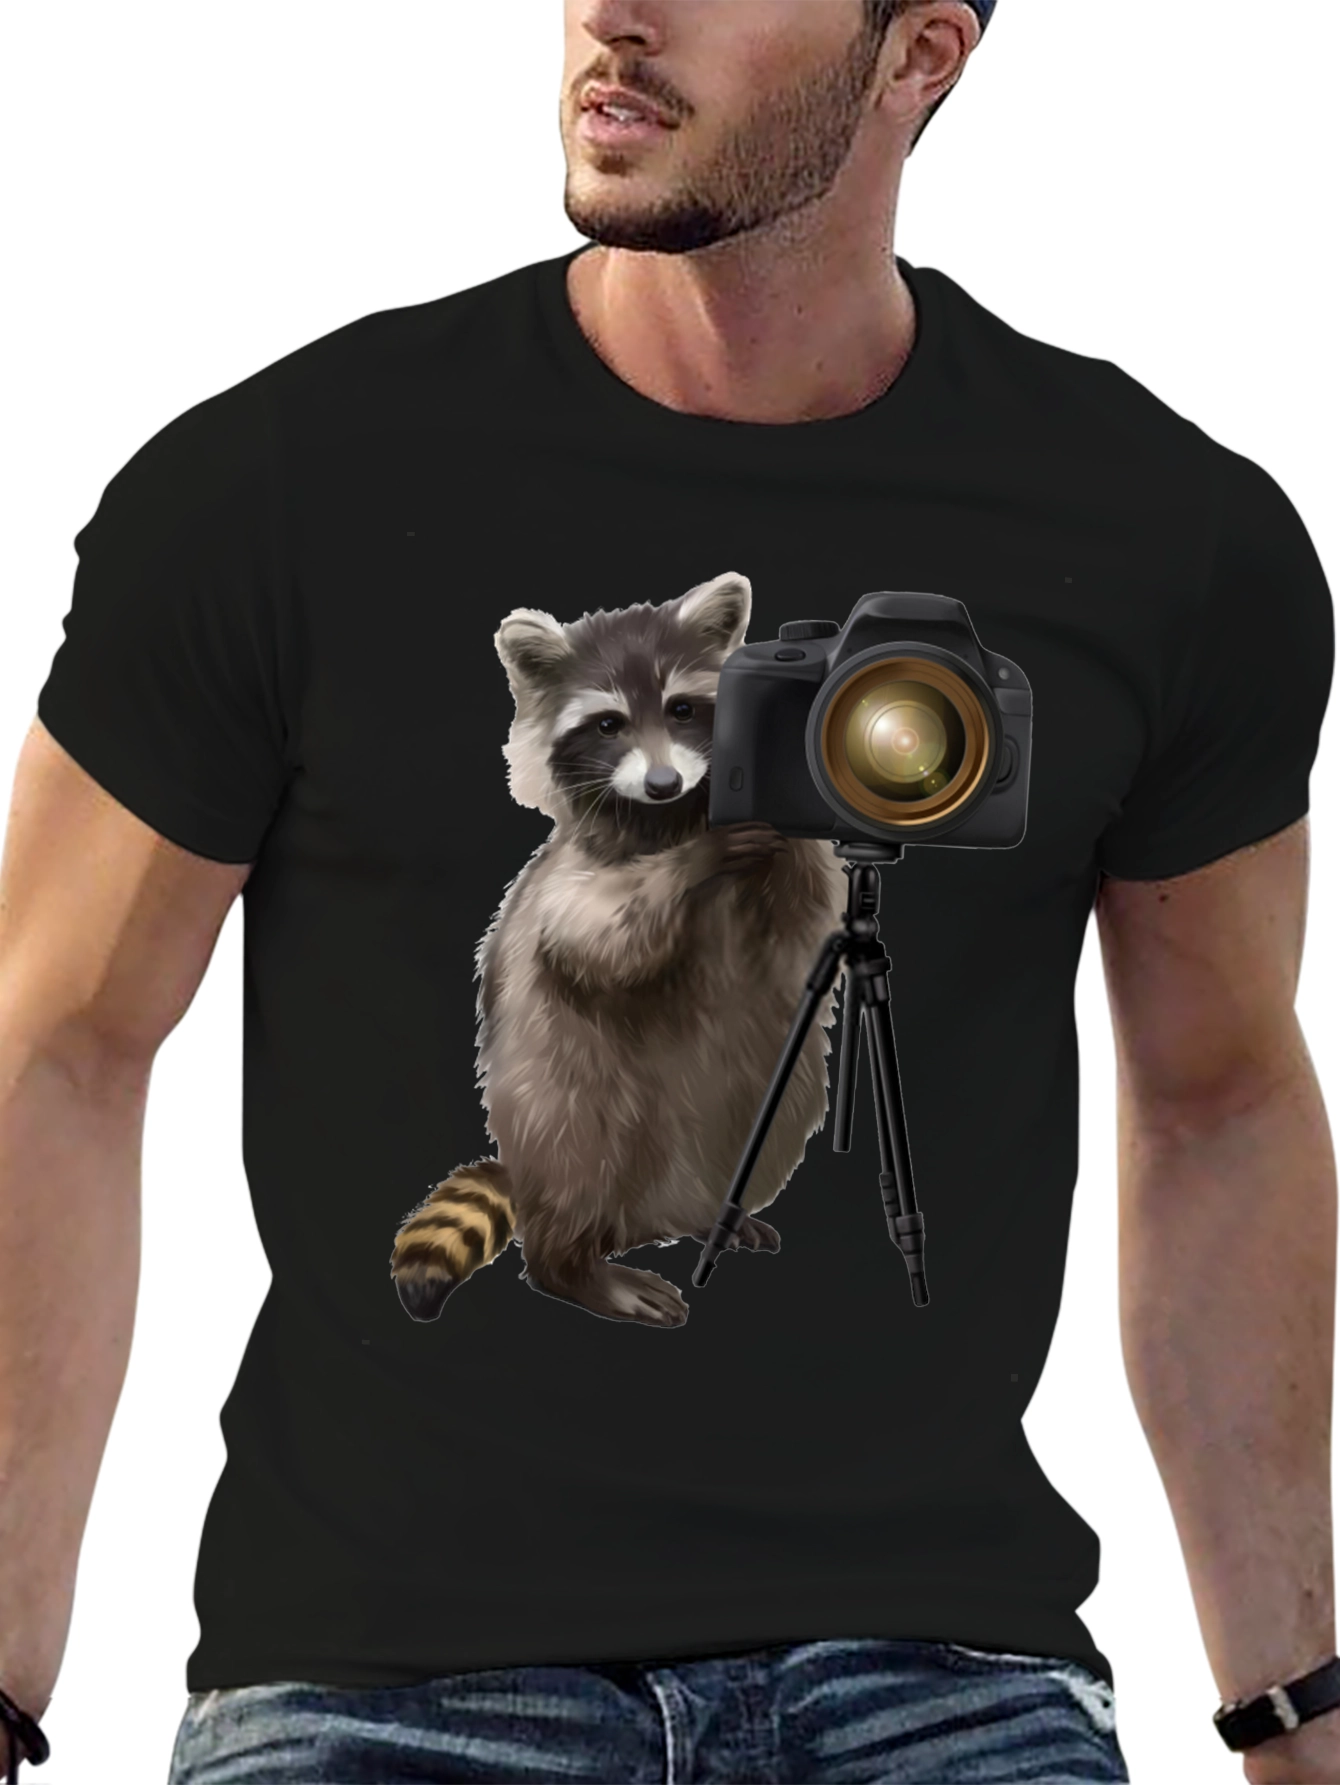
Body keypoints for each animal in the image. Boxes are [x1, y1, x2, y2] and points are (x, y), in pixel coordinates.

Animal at [391, 571, 850, 1327]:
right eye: (609, 725)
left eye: (683, 709)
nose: (665, 782)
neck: (669, 816)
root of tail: (639, 1219)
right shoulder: (566, 882)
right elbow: (597, 939)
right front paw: (695, 861)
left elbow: (809, 910)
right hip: (558, 1090)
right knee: (579, 1155)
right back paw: (572, 1264)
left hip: (771, 1091)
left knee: (774, 1113)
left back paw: (712, 1218)